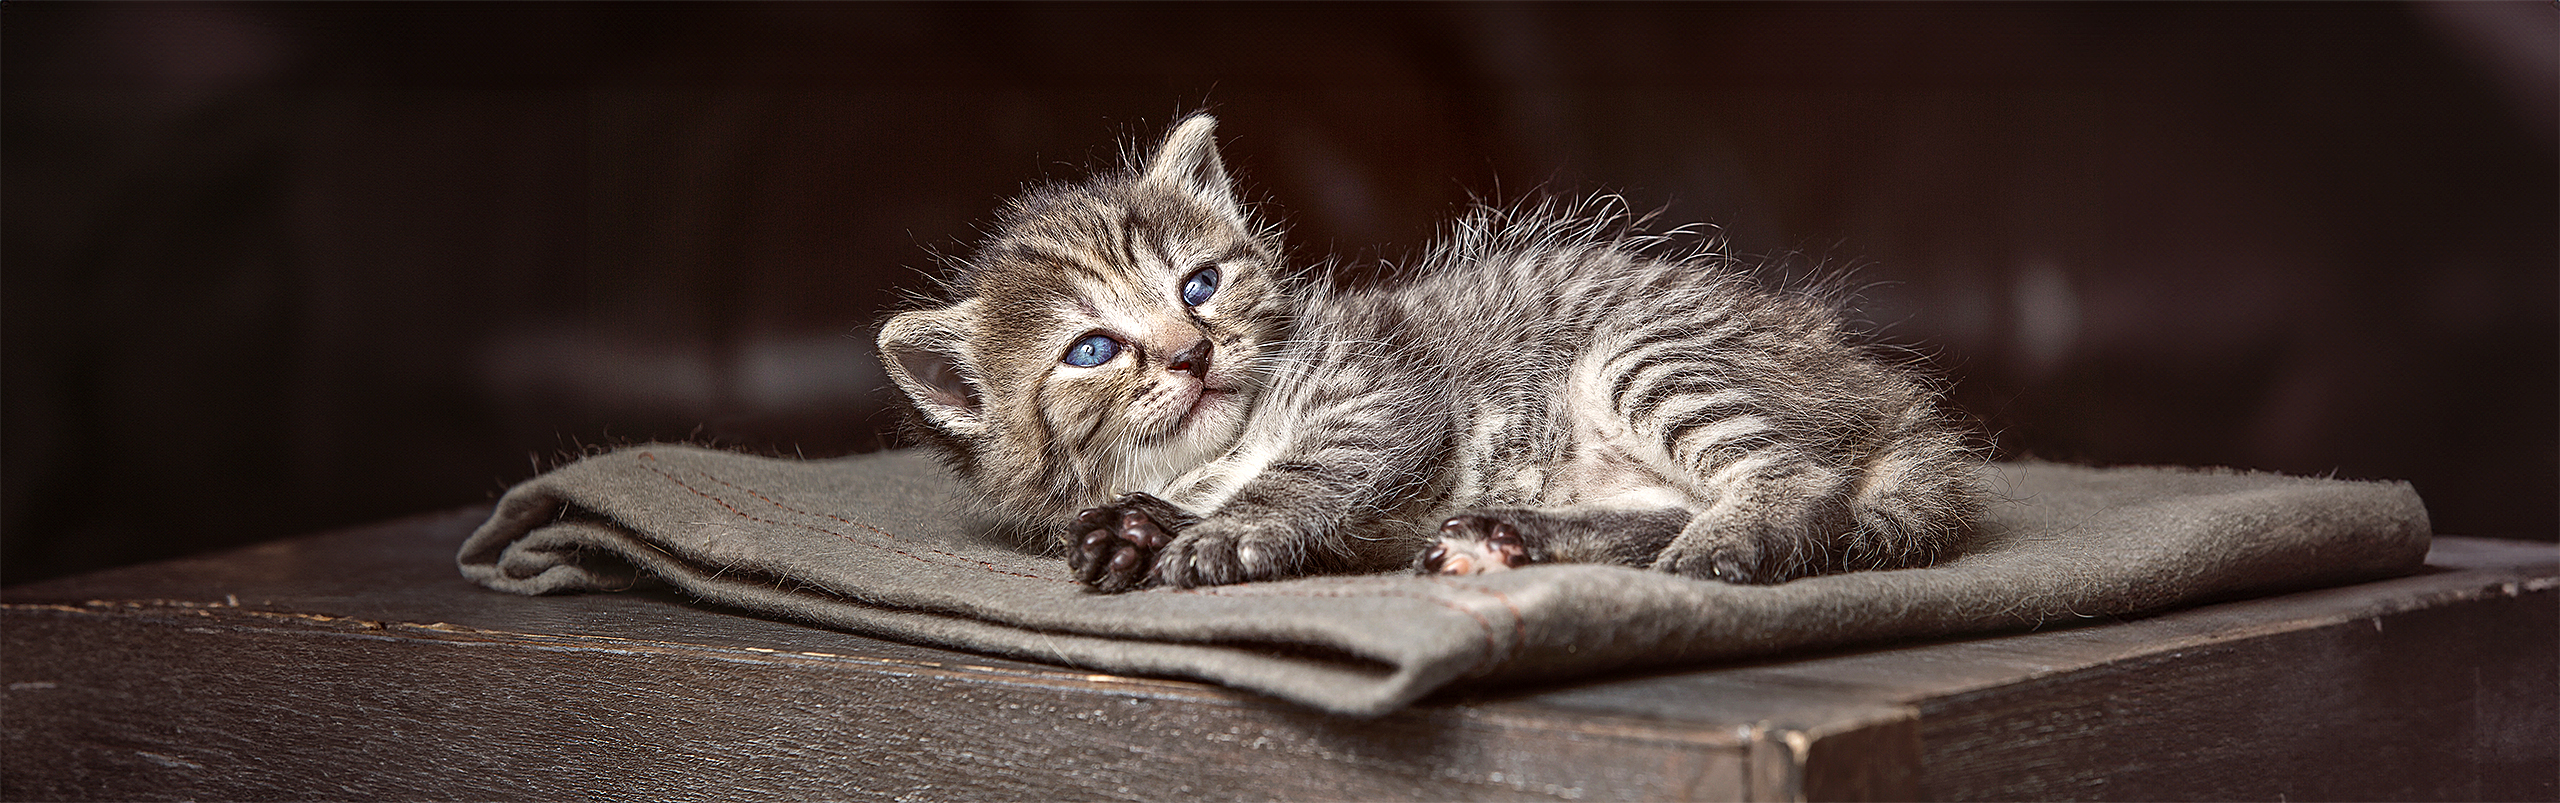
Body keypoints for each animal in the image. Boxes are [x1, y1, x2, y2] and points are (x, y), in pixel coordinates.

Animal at [875, 114, 1976, 590]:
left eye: (1198, 284)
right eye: (1093, 348)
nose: (1192, 352)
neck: (1218, 450)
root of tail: (1894, 404)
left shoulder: (1382, 392)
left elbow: (1300, 473)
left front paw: (1224, 531)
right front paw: (1130, 528)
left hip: (1645, 356)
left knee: (1796, 476)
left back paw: (1728, 538)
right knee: (1663, 509)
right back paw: (1510, 536)